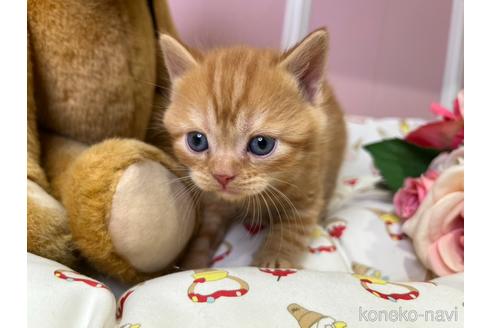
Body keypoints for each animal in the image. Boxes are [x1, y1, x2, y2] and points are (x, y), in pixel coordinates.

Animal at [160, 28, 344, 270]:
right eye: (197, 141)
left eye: (261, 144)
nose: (222, 176)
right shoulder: (213, 201)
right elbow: (203, 236)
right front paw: (191, 265)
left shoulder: (308, 192)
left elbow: (290, 232)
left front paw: (273, 261)